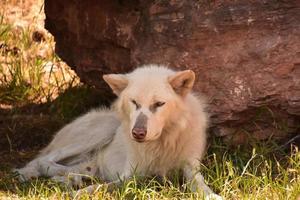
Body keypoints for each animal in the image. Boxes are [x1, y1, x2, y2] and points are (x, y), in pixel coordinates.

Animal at [16, 65, 223, 199]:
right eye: (134, 102)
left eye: (159, 104)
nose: (138, 133)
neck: (162, 143)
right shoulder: (130, 176)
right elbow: (100, 188)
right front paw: (77, 193)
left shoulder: (191, 168)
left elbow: (201, 186)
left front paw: (213, 195)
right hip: (104, 129)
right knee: (43, 161)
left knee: (82, 169)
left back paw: (74, 178)